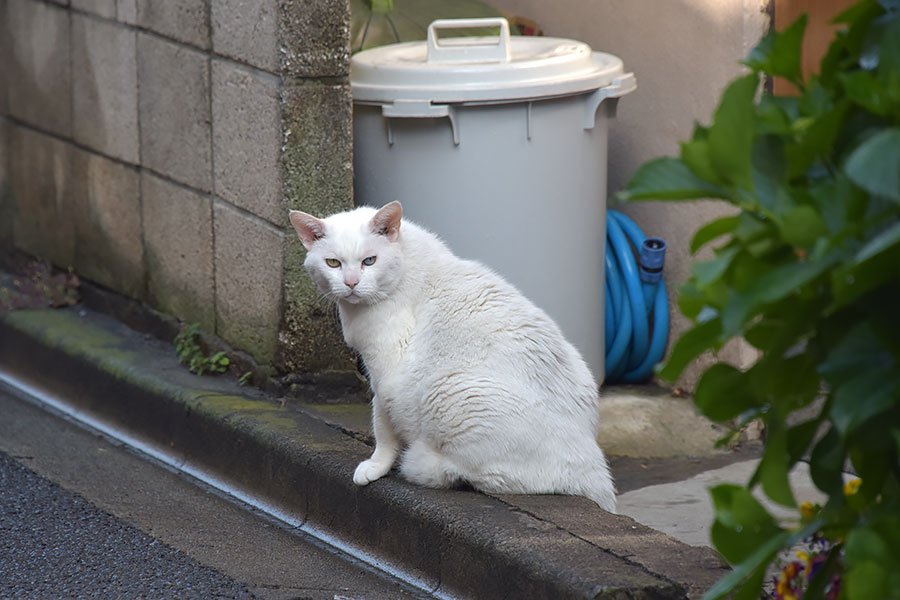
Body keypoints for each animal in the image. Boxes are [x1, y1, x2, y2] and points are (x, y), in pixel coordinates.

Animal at [292, 202, 616, 510]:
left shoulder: (386, 377)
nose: (351, 283)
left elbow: (381, 426)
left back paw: (425, 464)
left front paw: (375, 466)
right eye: (333, 263)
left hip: (449, 388)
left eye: (369, 261)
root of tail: (594, 461)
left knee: (503, 478)